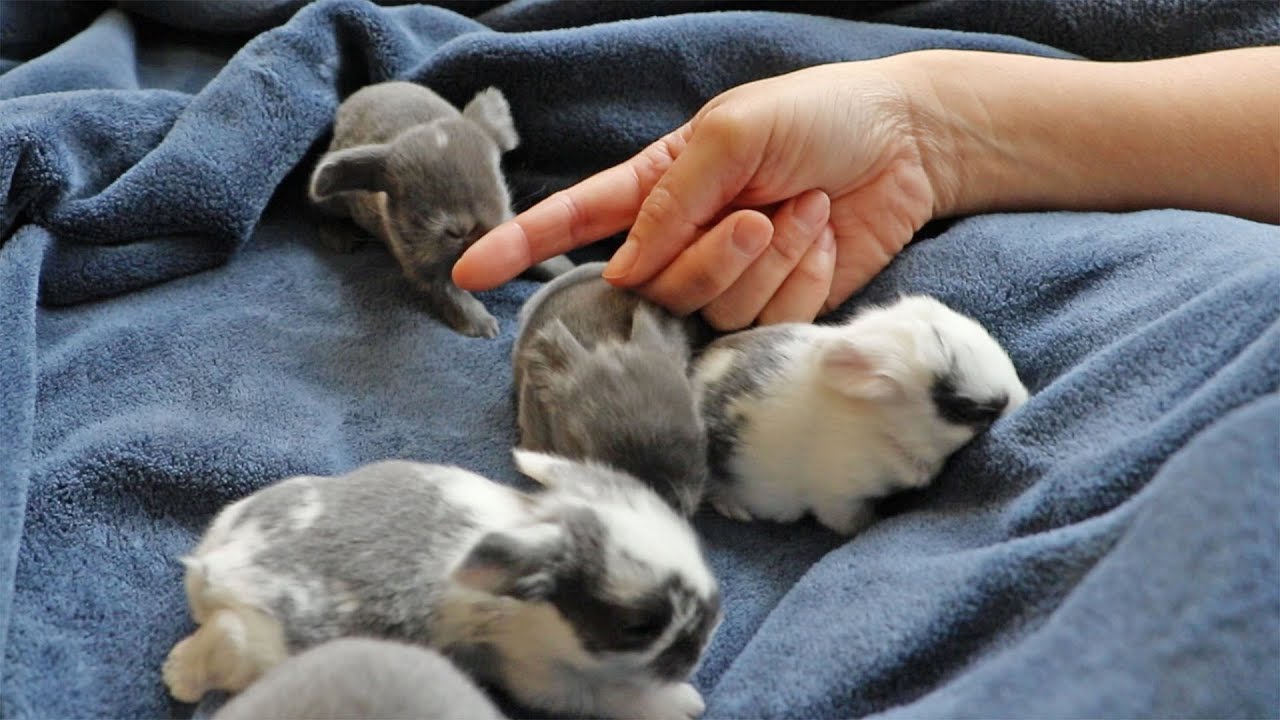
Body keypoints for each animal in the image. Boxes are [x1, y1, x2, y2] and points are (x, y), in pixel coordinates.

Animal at [308, 81, 572, 338]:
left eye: (499, 180)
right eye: (412, 198)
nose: (470, 230)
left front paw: (565, 269)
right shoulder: (423, 267)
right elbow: (450, 293)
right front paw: (484, 327)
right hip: (333, 203)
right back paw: (339, 238)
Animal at [693, 294, 1030, 536]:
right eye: (961, 409)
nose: (1025, 399)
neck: (882, 425)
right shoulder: (838, 496)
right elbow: (848, 521)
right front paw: (872, 523)